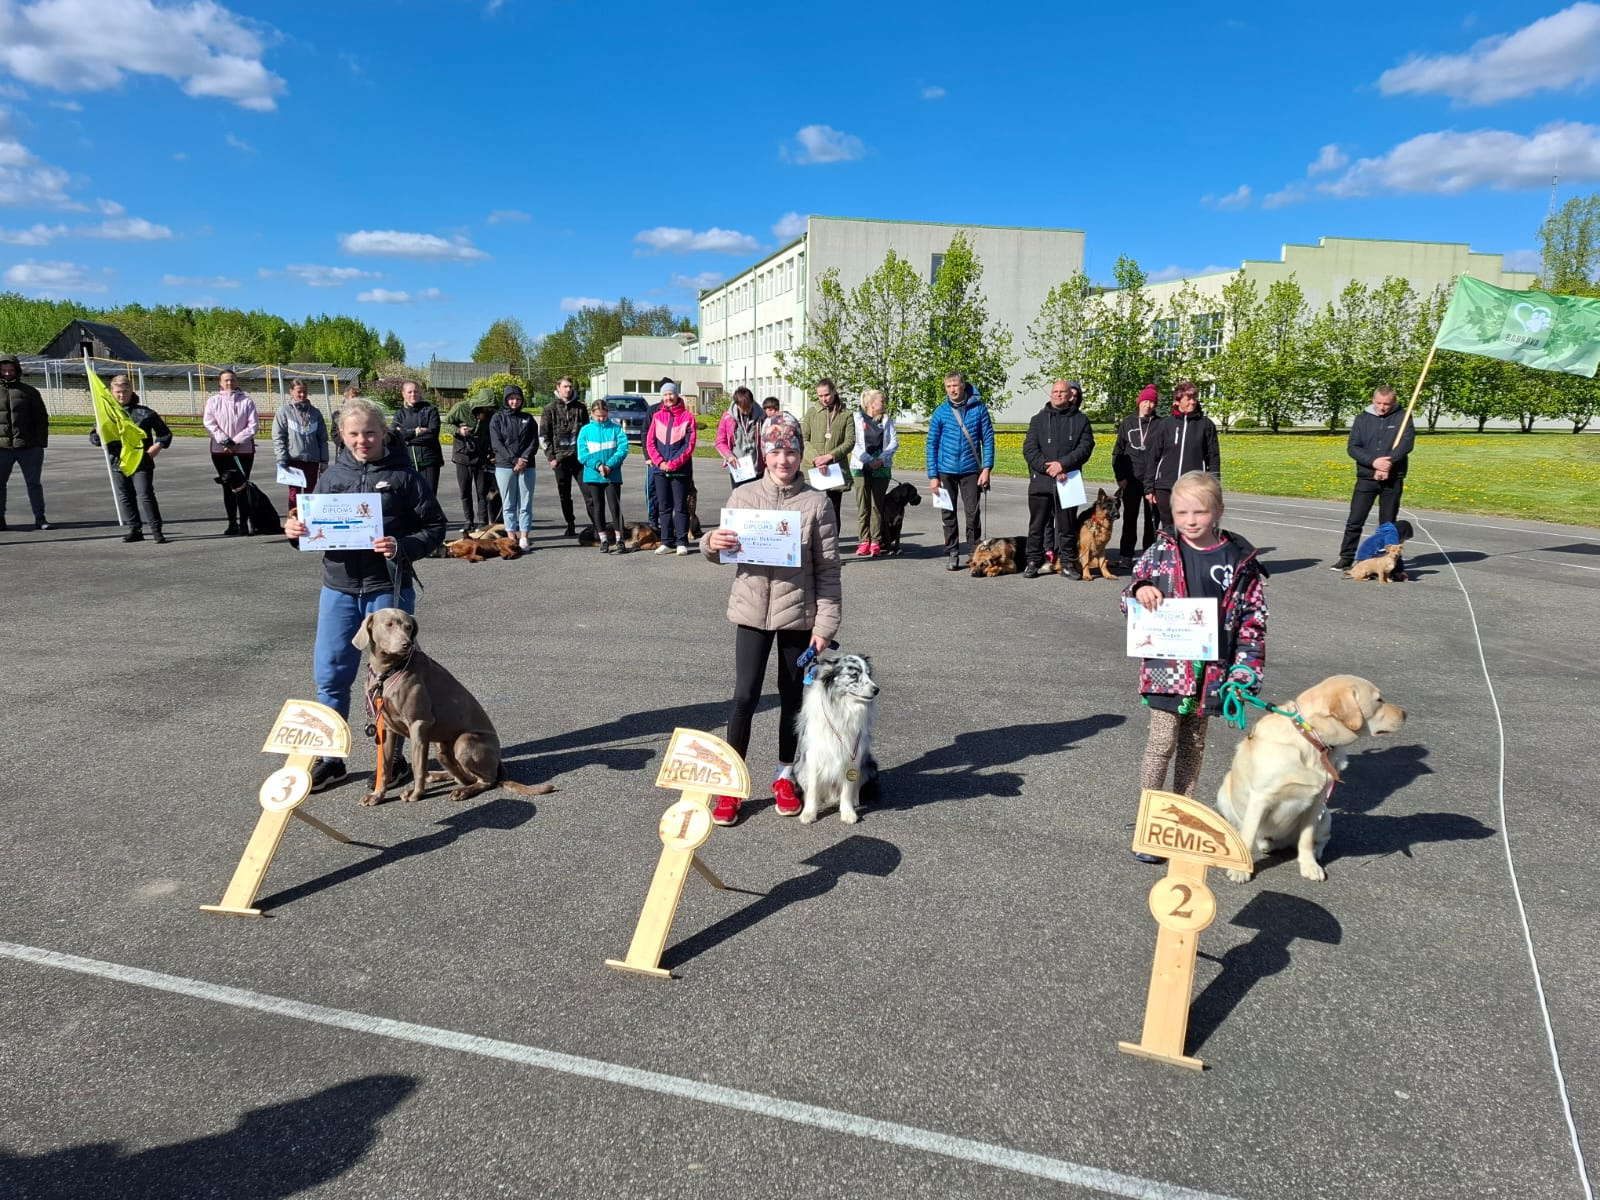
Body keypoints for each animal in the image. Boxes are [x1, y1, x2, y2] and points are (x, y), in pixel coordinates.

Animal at [350, 611, 556, 809]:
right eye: (389, 624)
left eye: (409, 627)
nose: (406, 644)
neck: (386, 673)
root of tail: (499, 765)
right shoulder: (386, 728)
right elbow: (384, 767)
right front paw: (376, 796)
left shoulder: (419, 723)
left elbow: (417, 765)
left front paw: (416, 793)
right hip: (440, 747)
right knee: (462, 776)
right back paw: (437, 776)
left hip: (464, 741)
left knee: (484, 780)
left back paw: (461, 791)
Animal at [1216, 678, 1408, 883]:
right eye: (1379, 700)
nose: (1405, 714)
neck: (1310, 739)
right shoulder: (1260, 798)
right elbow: (1248, 835)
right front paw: (1241, 870)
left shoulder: (1317, 802)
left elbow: (1306, 840)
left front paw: (1309, 866)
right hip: (1223, 795)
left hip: (1326, 815)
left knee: (1321, 840)